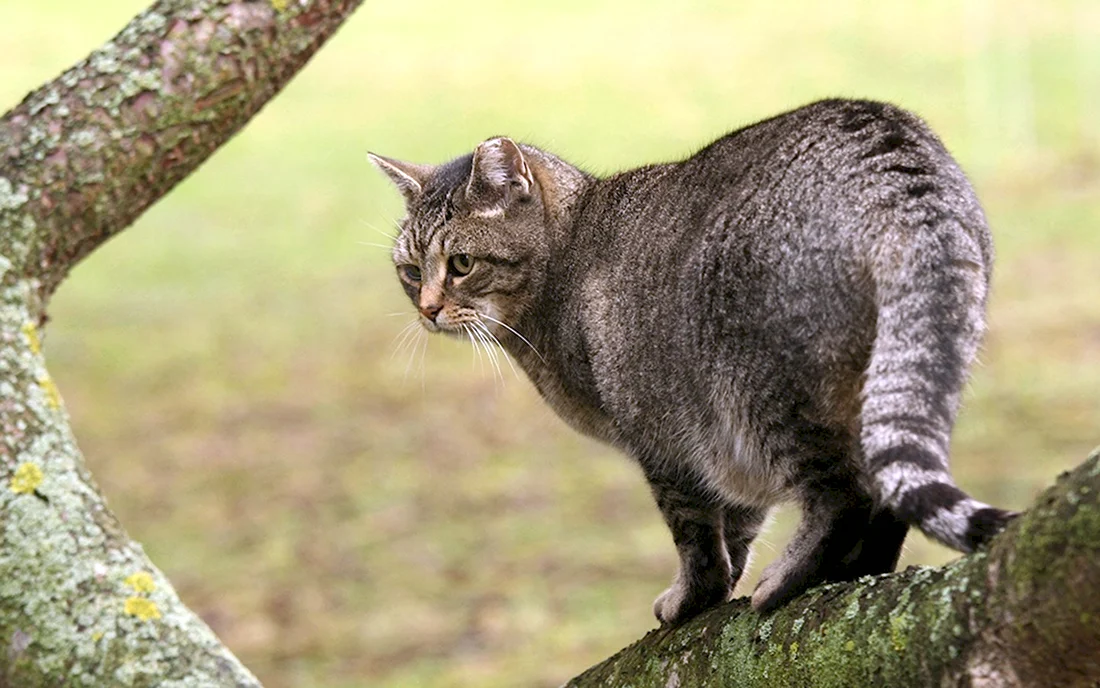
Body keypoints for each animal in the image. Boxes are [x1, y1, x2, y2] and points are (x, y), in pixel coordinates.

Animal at [369, 99, 1012, 625]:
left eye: (461, 264)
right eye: (410, 272)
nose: (427, 308)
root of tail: (895, 162)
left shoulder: (664, 438)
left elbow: (696, 535)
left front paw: (695, 598)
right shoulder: (721, 449)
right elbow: (739, 524)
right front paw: (725, 582)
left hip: (764, 389)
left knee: (845, 492)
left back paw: (791, 578)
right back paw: (861, 569)